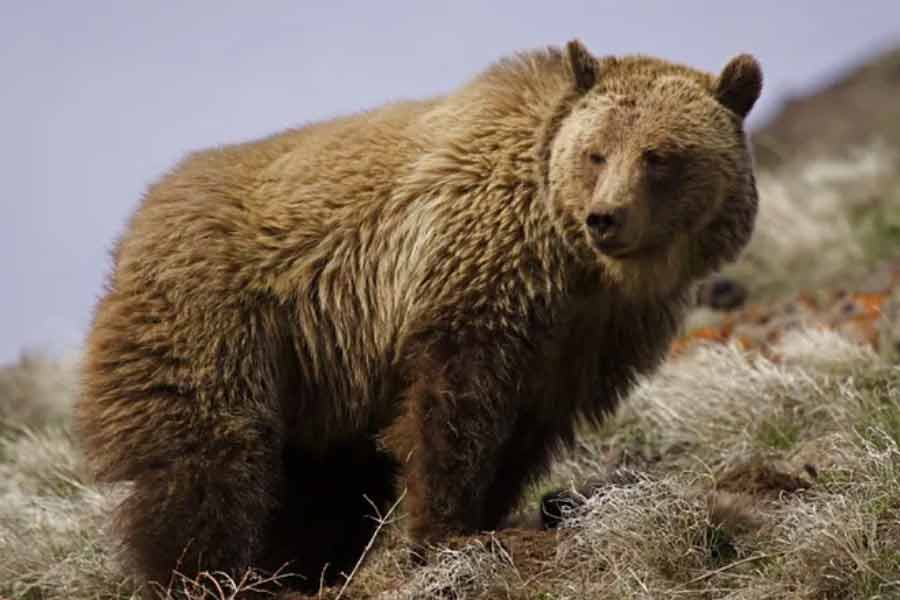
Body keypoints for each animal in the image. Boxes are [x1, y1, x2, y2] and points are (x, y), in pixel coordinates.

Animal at [77, 39, 762, 595]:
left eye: (659, 154)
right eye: (596, 153)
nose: (606, 218)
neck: (574, 265)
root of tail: (142, 216)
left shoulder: (587, 338)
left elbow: (525, 428)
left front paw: (487, 516)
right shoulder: (475, 274)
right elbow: (453, 409)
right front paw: (445, 533)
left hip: (318, 372)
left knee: (323, 481)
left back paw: (298, 569)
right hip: (214, 317)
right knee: (207, 454)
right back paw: (207, 573)